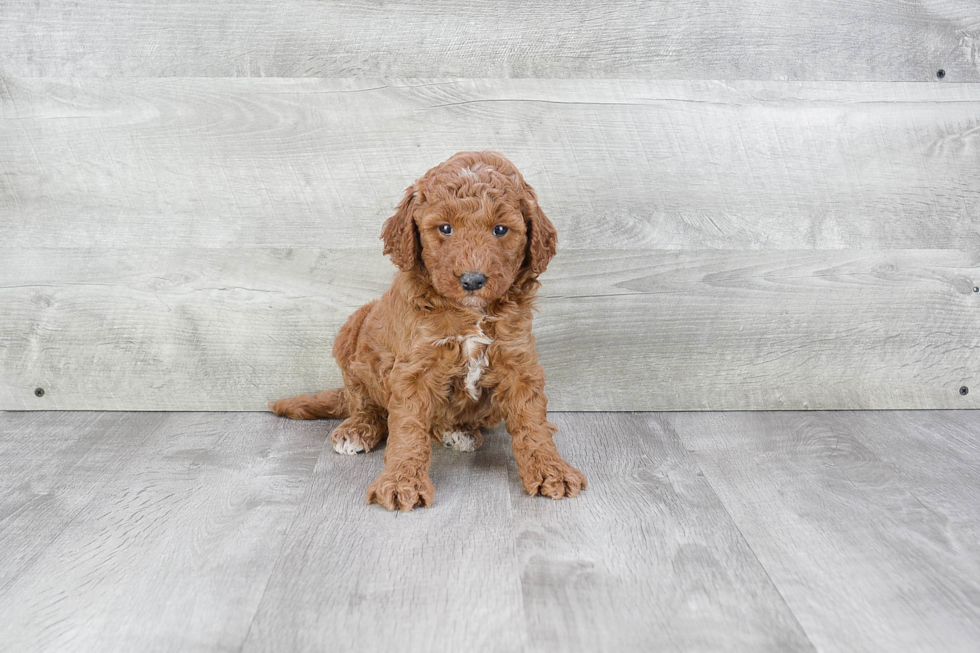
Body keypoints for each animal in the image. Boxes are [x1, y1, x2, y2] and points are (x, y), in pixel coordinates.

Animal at [268, 149, 584, 510]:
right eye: (445, 228)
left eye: (501, 229)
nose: (472, 280)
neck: (470, 313)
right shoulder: (414, 369)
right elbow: (408, 428)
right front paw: (401, 482)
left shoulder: (519, 361)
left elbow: (533, 423)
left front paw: (551, 470)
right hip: (352, 332)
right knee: (363, 401)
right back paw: (358, 428)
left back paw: (457, 431)